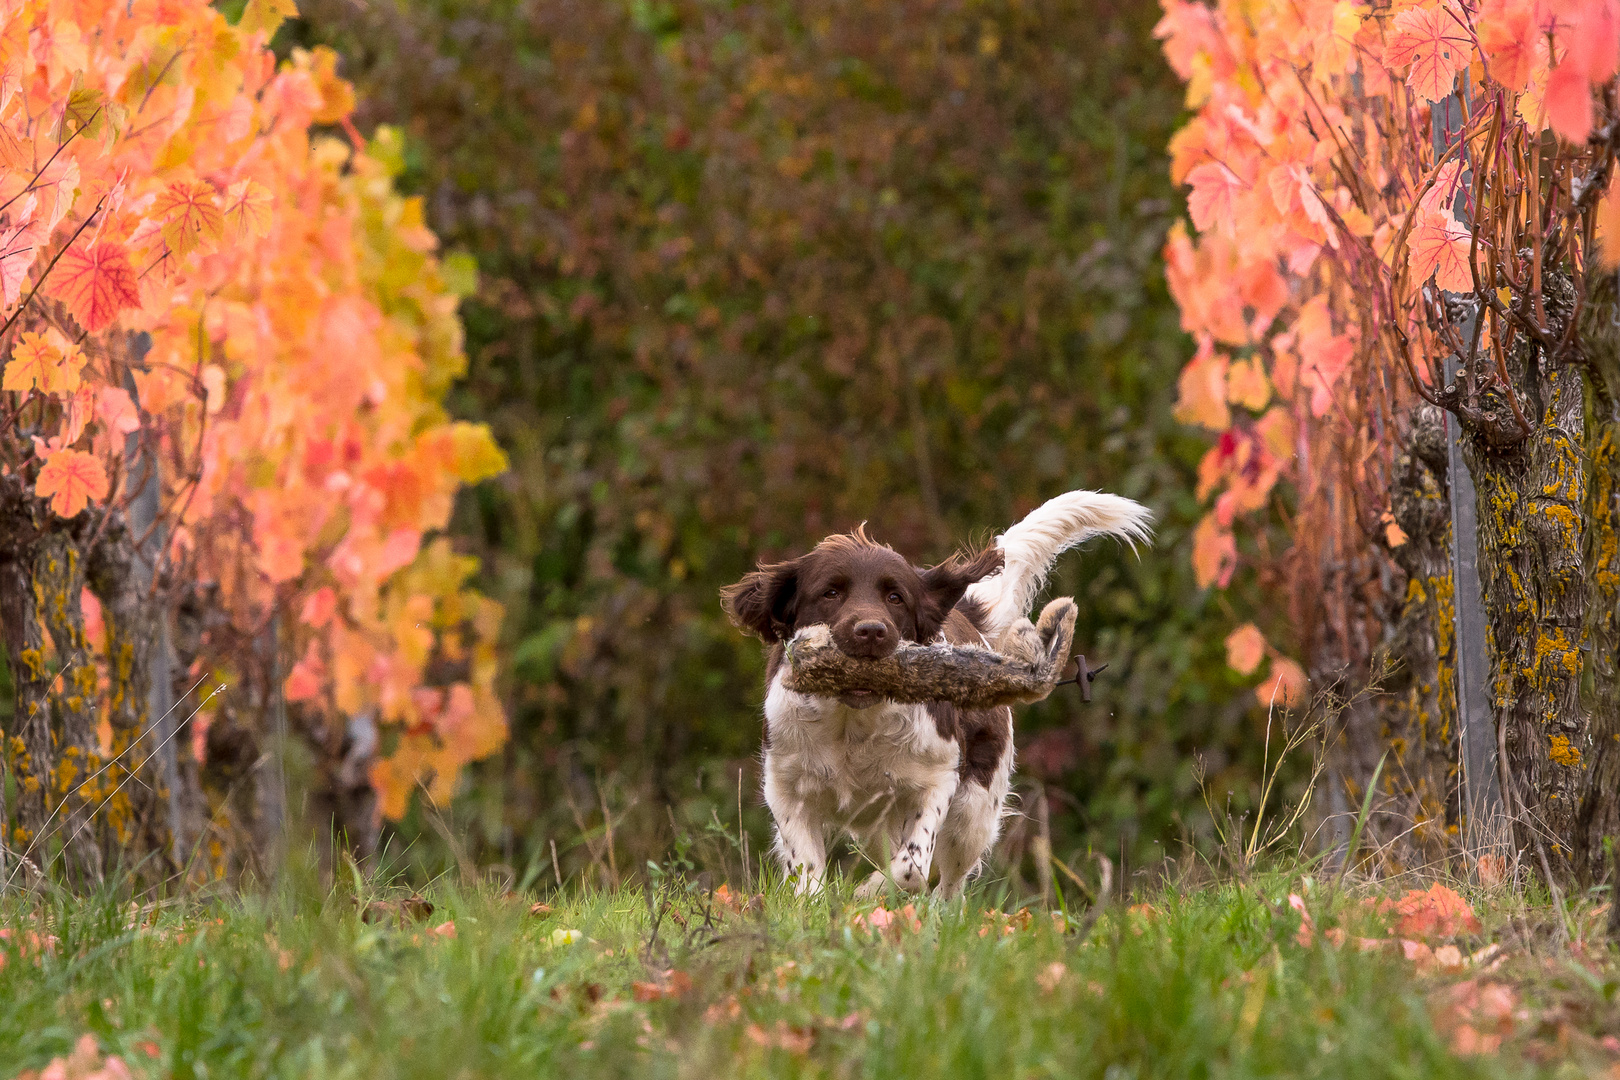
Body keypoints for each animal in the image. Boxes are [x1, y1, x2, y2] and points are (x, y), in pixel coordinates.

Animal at [722, 488, 1153, 893]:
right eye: (830, 593)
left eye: (895, 597)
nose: (871, 631)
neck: (853, 723)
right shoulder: (786, 787)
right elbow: (806, 873)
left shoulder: (938, 779)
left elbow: (912, 867)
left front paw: (867, 893)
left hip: (974, 808)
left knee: (951, 886)